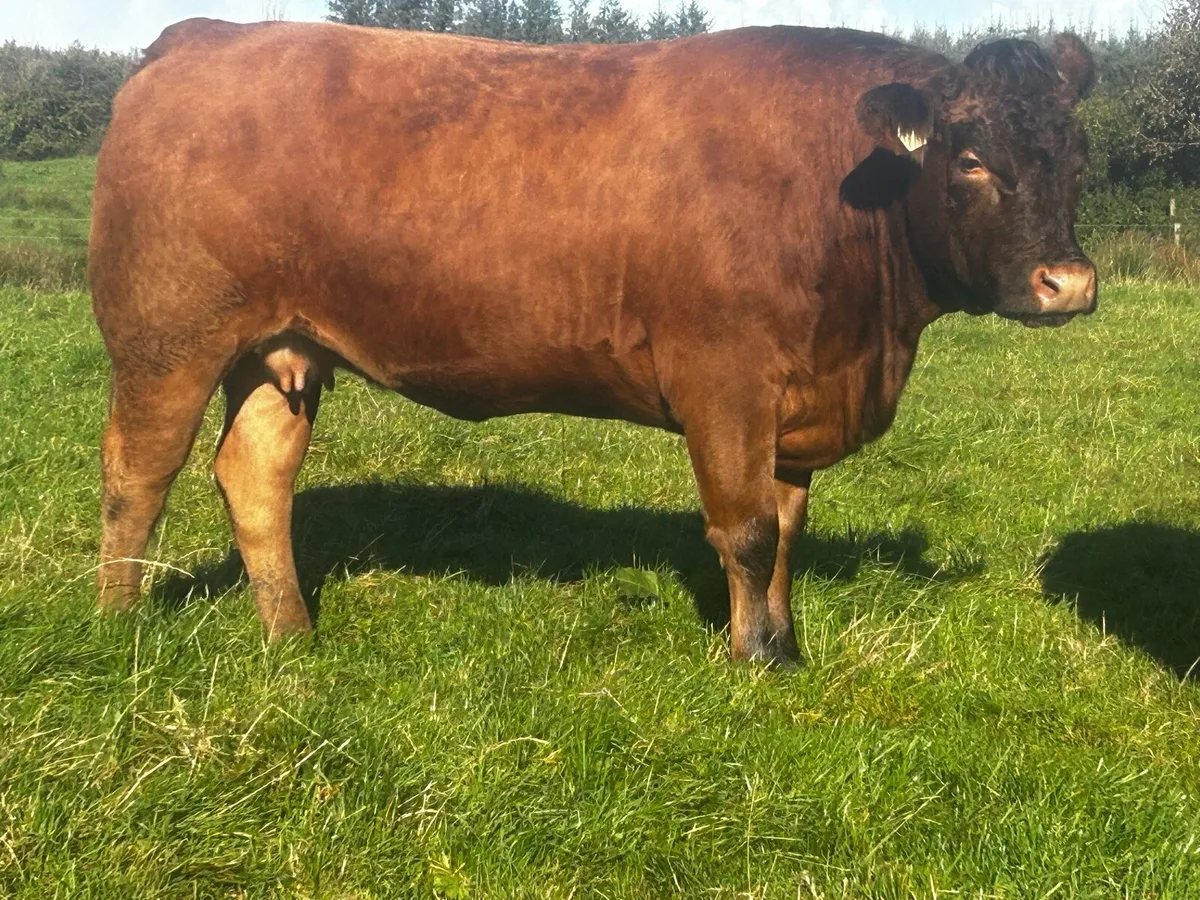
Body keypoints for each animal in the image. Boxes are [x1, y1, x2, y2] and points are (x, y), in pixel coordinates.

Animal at [90, 19, 1097, 665]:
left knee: (254, 476)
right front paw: (756, 660)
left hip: (278, 350)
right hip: (166, 341)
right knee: (137, 476)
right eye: (969, 158)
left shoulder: (799, 397)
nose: (1069, 282)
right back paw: (118, 626)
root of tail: (202, 38)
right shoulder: (724, 380)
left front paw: (784, 640)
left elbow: (786, 532)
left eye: (1078, 156)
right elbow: (744, 531)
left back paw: (294, 636)